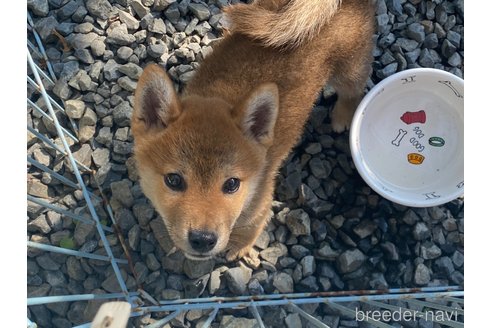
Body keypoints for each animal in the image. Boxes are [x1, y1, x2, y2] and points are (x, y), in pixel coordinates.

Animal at [130, 0, 372, 262]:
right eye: (173, 180)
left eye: (232, 184)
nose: (203, 239)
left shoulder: (261, 203)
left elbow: (252, 227)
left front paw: (241, 246)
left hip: (349, 68)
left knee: (354, 90)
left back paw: (343, 116)